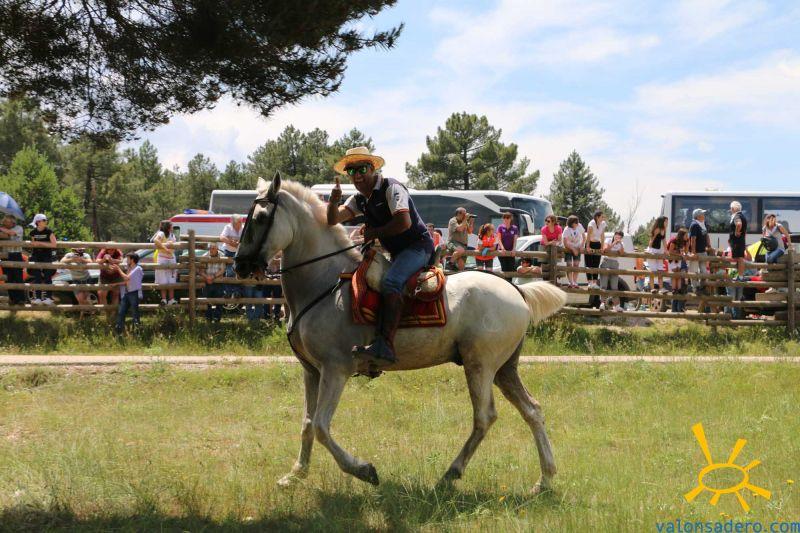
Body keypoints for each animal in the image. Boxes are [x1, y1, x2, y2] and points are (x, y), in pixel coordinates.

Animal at [234, 173, 567, 493]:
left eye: (261, 217)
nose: (240, 265)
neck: (326, 283)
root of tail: (517, 292)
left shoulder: (335, 369)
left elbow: (321, 426)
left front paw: (363, 470)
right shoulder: (311, 371)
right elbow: (306, 423)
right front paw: (295, 475)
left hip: (481, 366)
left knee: (484, 417)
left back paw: (451, 473)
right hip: (504, 369)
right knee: (532, 410)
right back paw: (545, 479)